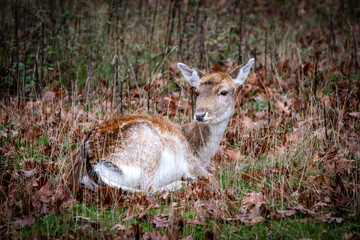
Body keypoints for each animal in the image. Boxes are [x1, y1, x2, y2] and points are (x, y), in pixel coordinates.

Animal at [69, 57, 255, 193]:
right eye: (197, 92)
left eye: (223, 92)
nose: (200, 114)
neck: (199, 150)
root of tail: (92, 164)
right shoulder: (190, 161)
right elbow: (213, 178)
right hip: (148, 143)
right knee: (148, 188)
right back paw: (179, 184)